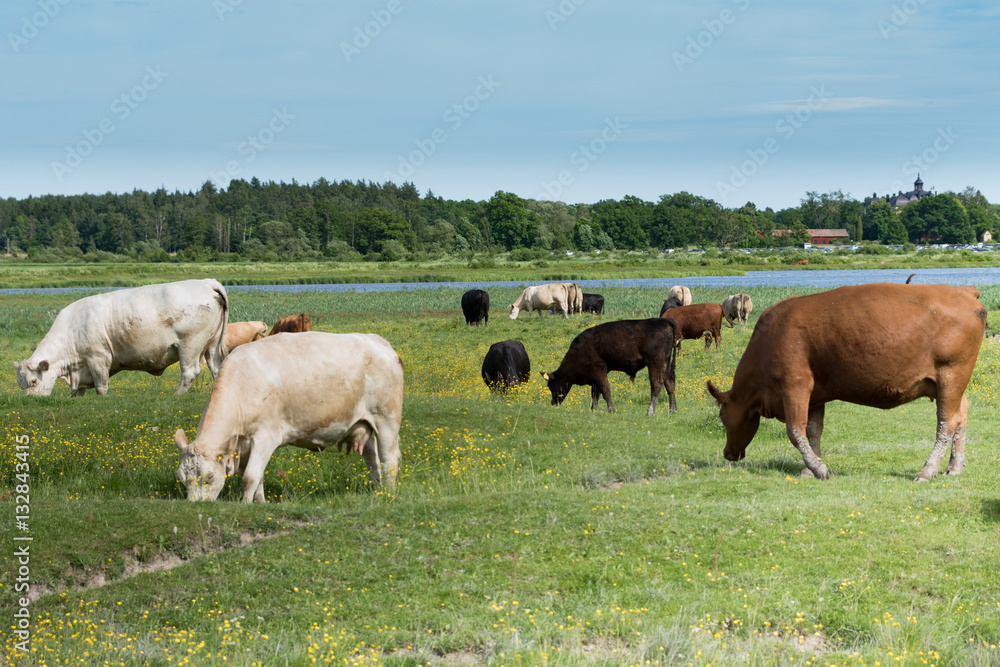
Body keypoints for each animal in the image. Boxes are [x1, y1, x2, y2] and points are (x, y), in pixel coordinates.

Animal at [15, 280, 228, 396]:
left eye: (33, 381)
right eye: (20, 383)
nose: (31, 400)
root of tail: (205, 282)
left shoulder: (98, 358)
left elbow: (101, 386)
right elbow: (78, 392)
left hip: (189, 345)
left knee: (189, 373)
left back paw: (176, 395)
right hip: (212, 346)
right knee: (218, 369)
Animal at [175, 332, 402, 504]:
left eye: (208, 477)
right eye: (182, 479)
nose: (196, 507)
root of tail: (378, 340)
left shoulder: (266, 437)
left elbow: (249, 478)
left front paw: (246, 505)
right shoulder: (249, 444)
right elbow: (258, 477)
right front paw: (261, 503)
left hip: (387, 420)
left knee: (388, 459)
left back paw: (389, 493)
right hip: (363, 423)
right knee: (372, 460)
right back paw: (376, 490)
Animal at [540, 320, 680, 418]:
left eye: (550, 386)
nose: (553, 403)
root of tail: (664, 320)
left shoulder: (598, 369)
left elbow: (606, 390)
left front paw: (611, 410)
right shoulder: (594, 377)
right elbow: (595, 394)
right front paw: (593, 410)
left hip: (655, 363)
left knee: (656, 385)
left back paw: (650, 412)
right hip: (665, 364)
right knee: (670, 384)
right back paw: (673, 410)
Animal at [708, 284, 988, 482]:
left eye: (722, 417)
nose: (728, 453)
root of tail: (964, 291)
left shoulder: (795, 384)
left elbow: (795, 430)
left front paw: (819, 468)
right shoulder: (815, 395)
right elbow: (813, 431)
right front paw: (810, 469)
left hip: (951, 376)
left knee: (946, 423)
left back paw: (927, 471)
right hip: (949, 385)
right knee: (961, 413)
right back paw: (954, 467)